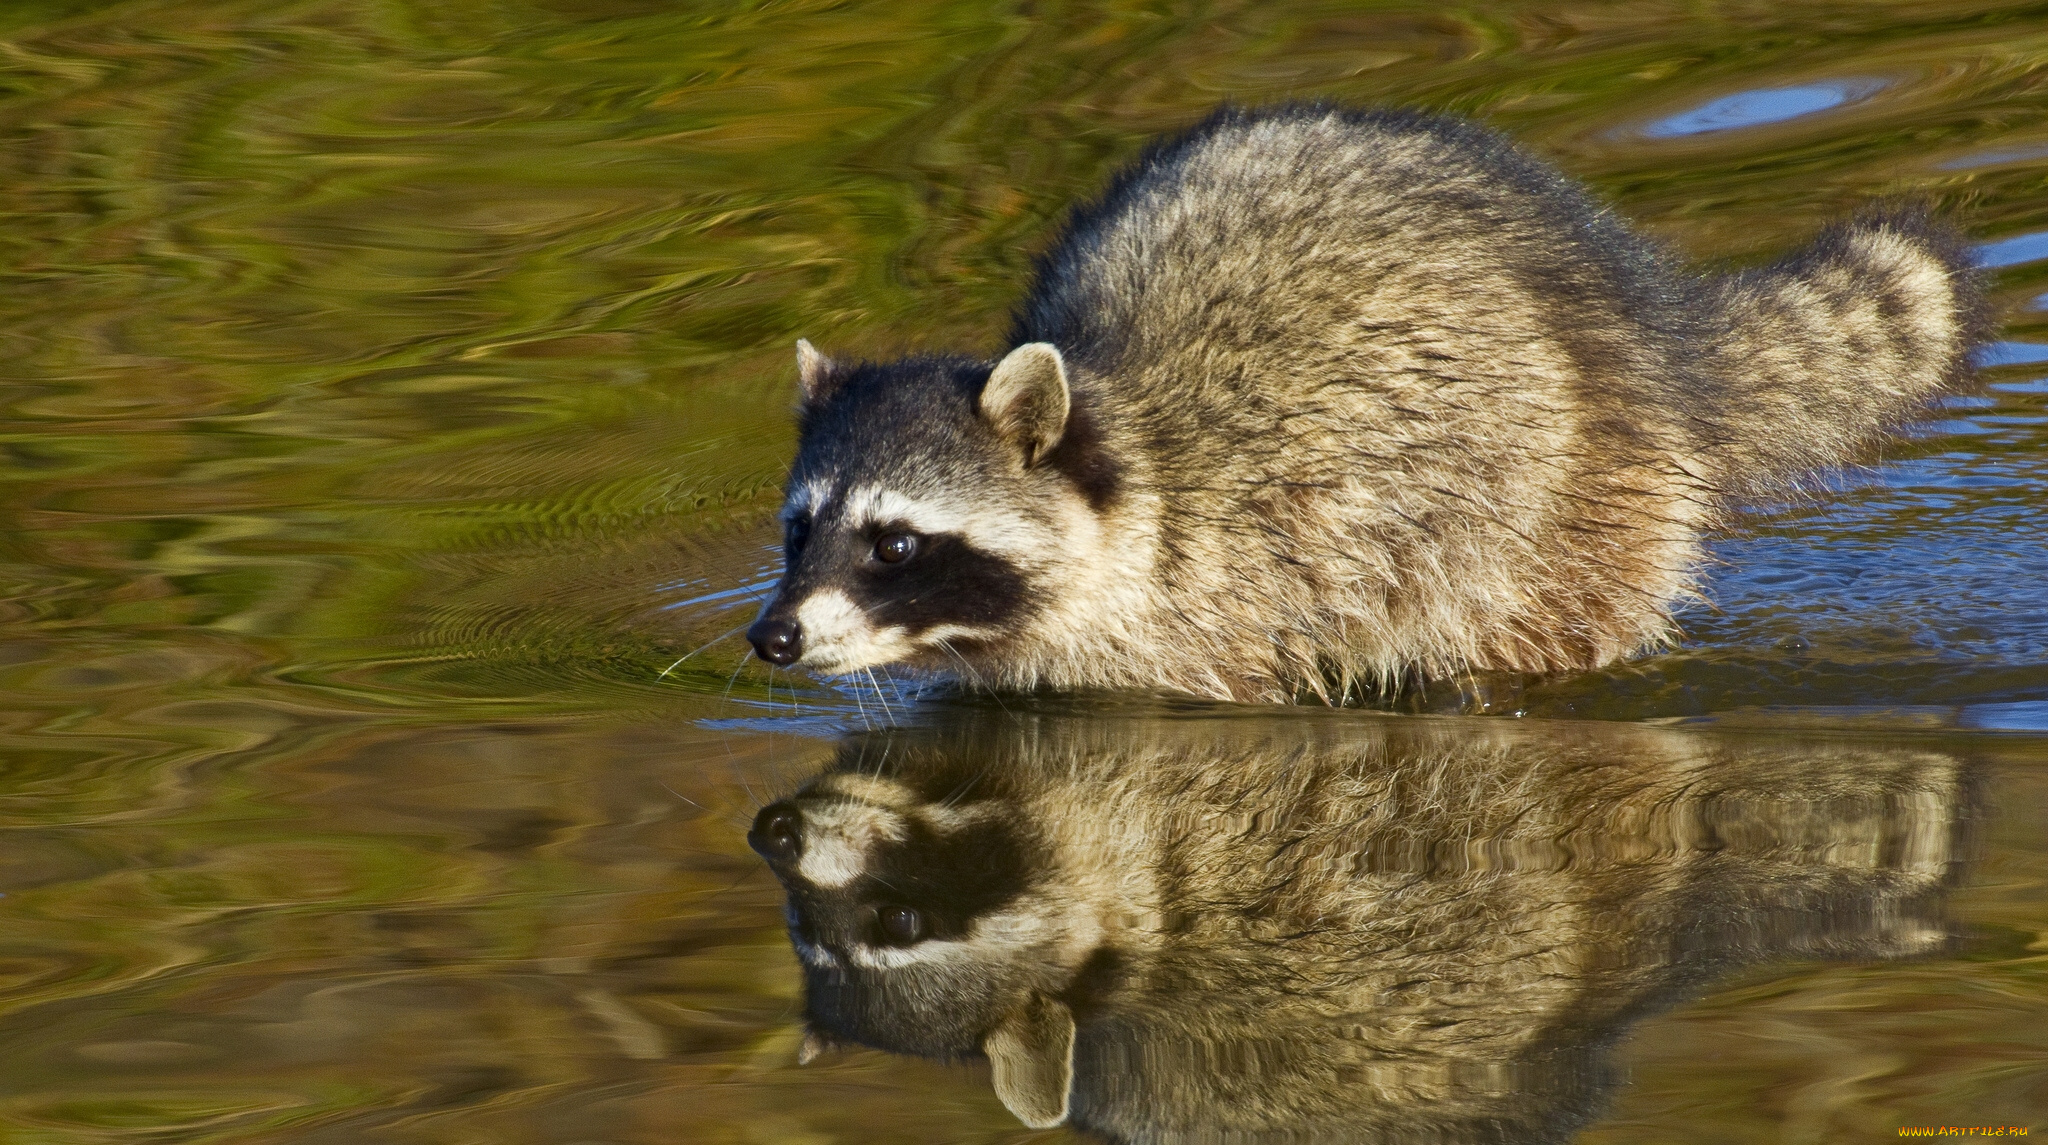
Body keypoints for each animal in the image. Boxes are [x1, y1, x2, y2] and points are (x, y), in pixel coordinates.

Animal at [741, 102, 1982, 704]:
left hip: (1562, 495)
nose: (772, 634)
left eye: (896, 544)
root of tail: (1642, 318)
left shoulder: (1250, 595)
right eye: (798, 530)